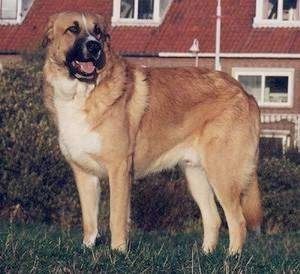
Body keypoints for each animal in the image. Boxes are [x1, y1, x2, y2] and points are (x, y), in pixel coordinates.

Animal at [42, 10, 262, 255]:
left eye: (97, 32)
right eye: (73, 29)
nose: (94, 46)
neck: (82, 93)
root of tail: (245, 93)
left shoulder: (119, 169)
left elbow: (117, 218)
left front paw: (117, 253)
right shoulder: (84, 174)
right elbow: (89, 221)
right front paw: (87, 250)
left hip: (222, 173)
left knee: (237, 221)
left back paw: (232, 257)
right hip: (196, 174)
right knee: (213, 218)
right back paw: (205, 255)